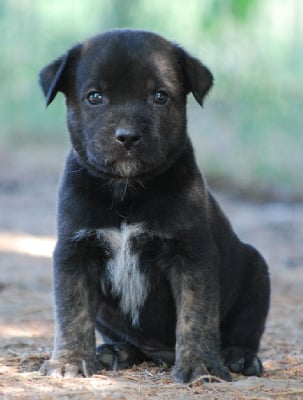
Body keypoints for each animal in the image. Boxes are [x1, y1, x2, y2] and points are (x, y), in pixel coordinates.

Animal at [38, 28, 270, 382]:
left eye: (160, 96)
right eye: (94, 97)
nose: (127, 136)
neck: (127, 190)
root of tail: (161, 353)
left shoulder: (191, 255)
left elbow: (196, 315)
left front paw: (201, 365)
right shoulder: (75, 252)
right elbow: (72, 313)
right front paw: (69, 362)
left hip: (256, 271)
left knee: (245, 329)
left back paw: (239, 357)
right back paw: (117, 351)